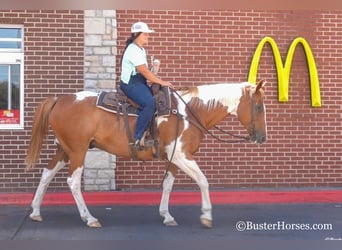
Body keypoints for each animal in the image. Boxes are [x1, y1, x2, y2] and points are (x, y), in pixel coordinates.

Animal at [26, 79, 268, 229]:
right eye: (258, 107)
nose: (262, 137)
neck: (189, 112)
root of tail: (59, 99)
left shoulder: (174, 158)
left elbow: (168, 185)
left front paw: (167, 215)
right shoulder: (181, 155)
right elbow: (203, 180)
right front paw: (207, 215)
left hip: (65, 150)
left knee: (46, 174)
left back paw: (36, 211)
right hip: (78, 150)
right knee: (73, 181)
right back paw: (89, 218)